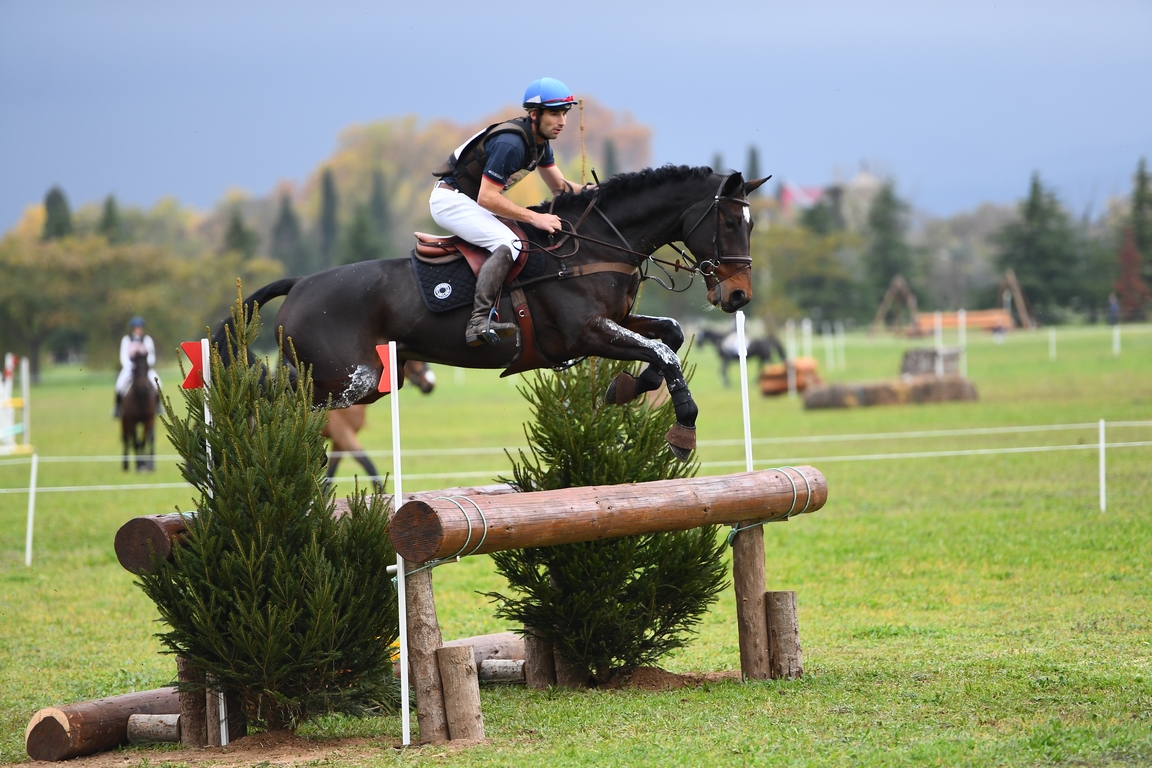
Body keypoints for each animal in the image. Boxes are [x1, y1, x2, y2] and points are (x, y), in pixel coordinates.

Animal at [211, 165, 769, 460]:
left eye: (751, 225)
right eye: (727, 223)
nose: (738, 297)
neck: (595, 244)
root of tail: (301, 284)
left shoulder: (615, 321)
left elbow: (668, 337)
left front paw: (626, 388)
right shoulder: (585, 332)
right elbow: (663, 352)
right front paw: (683, 430)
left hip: (356, 379)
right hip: (350, 378)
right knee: (264, 390)